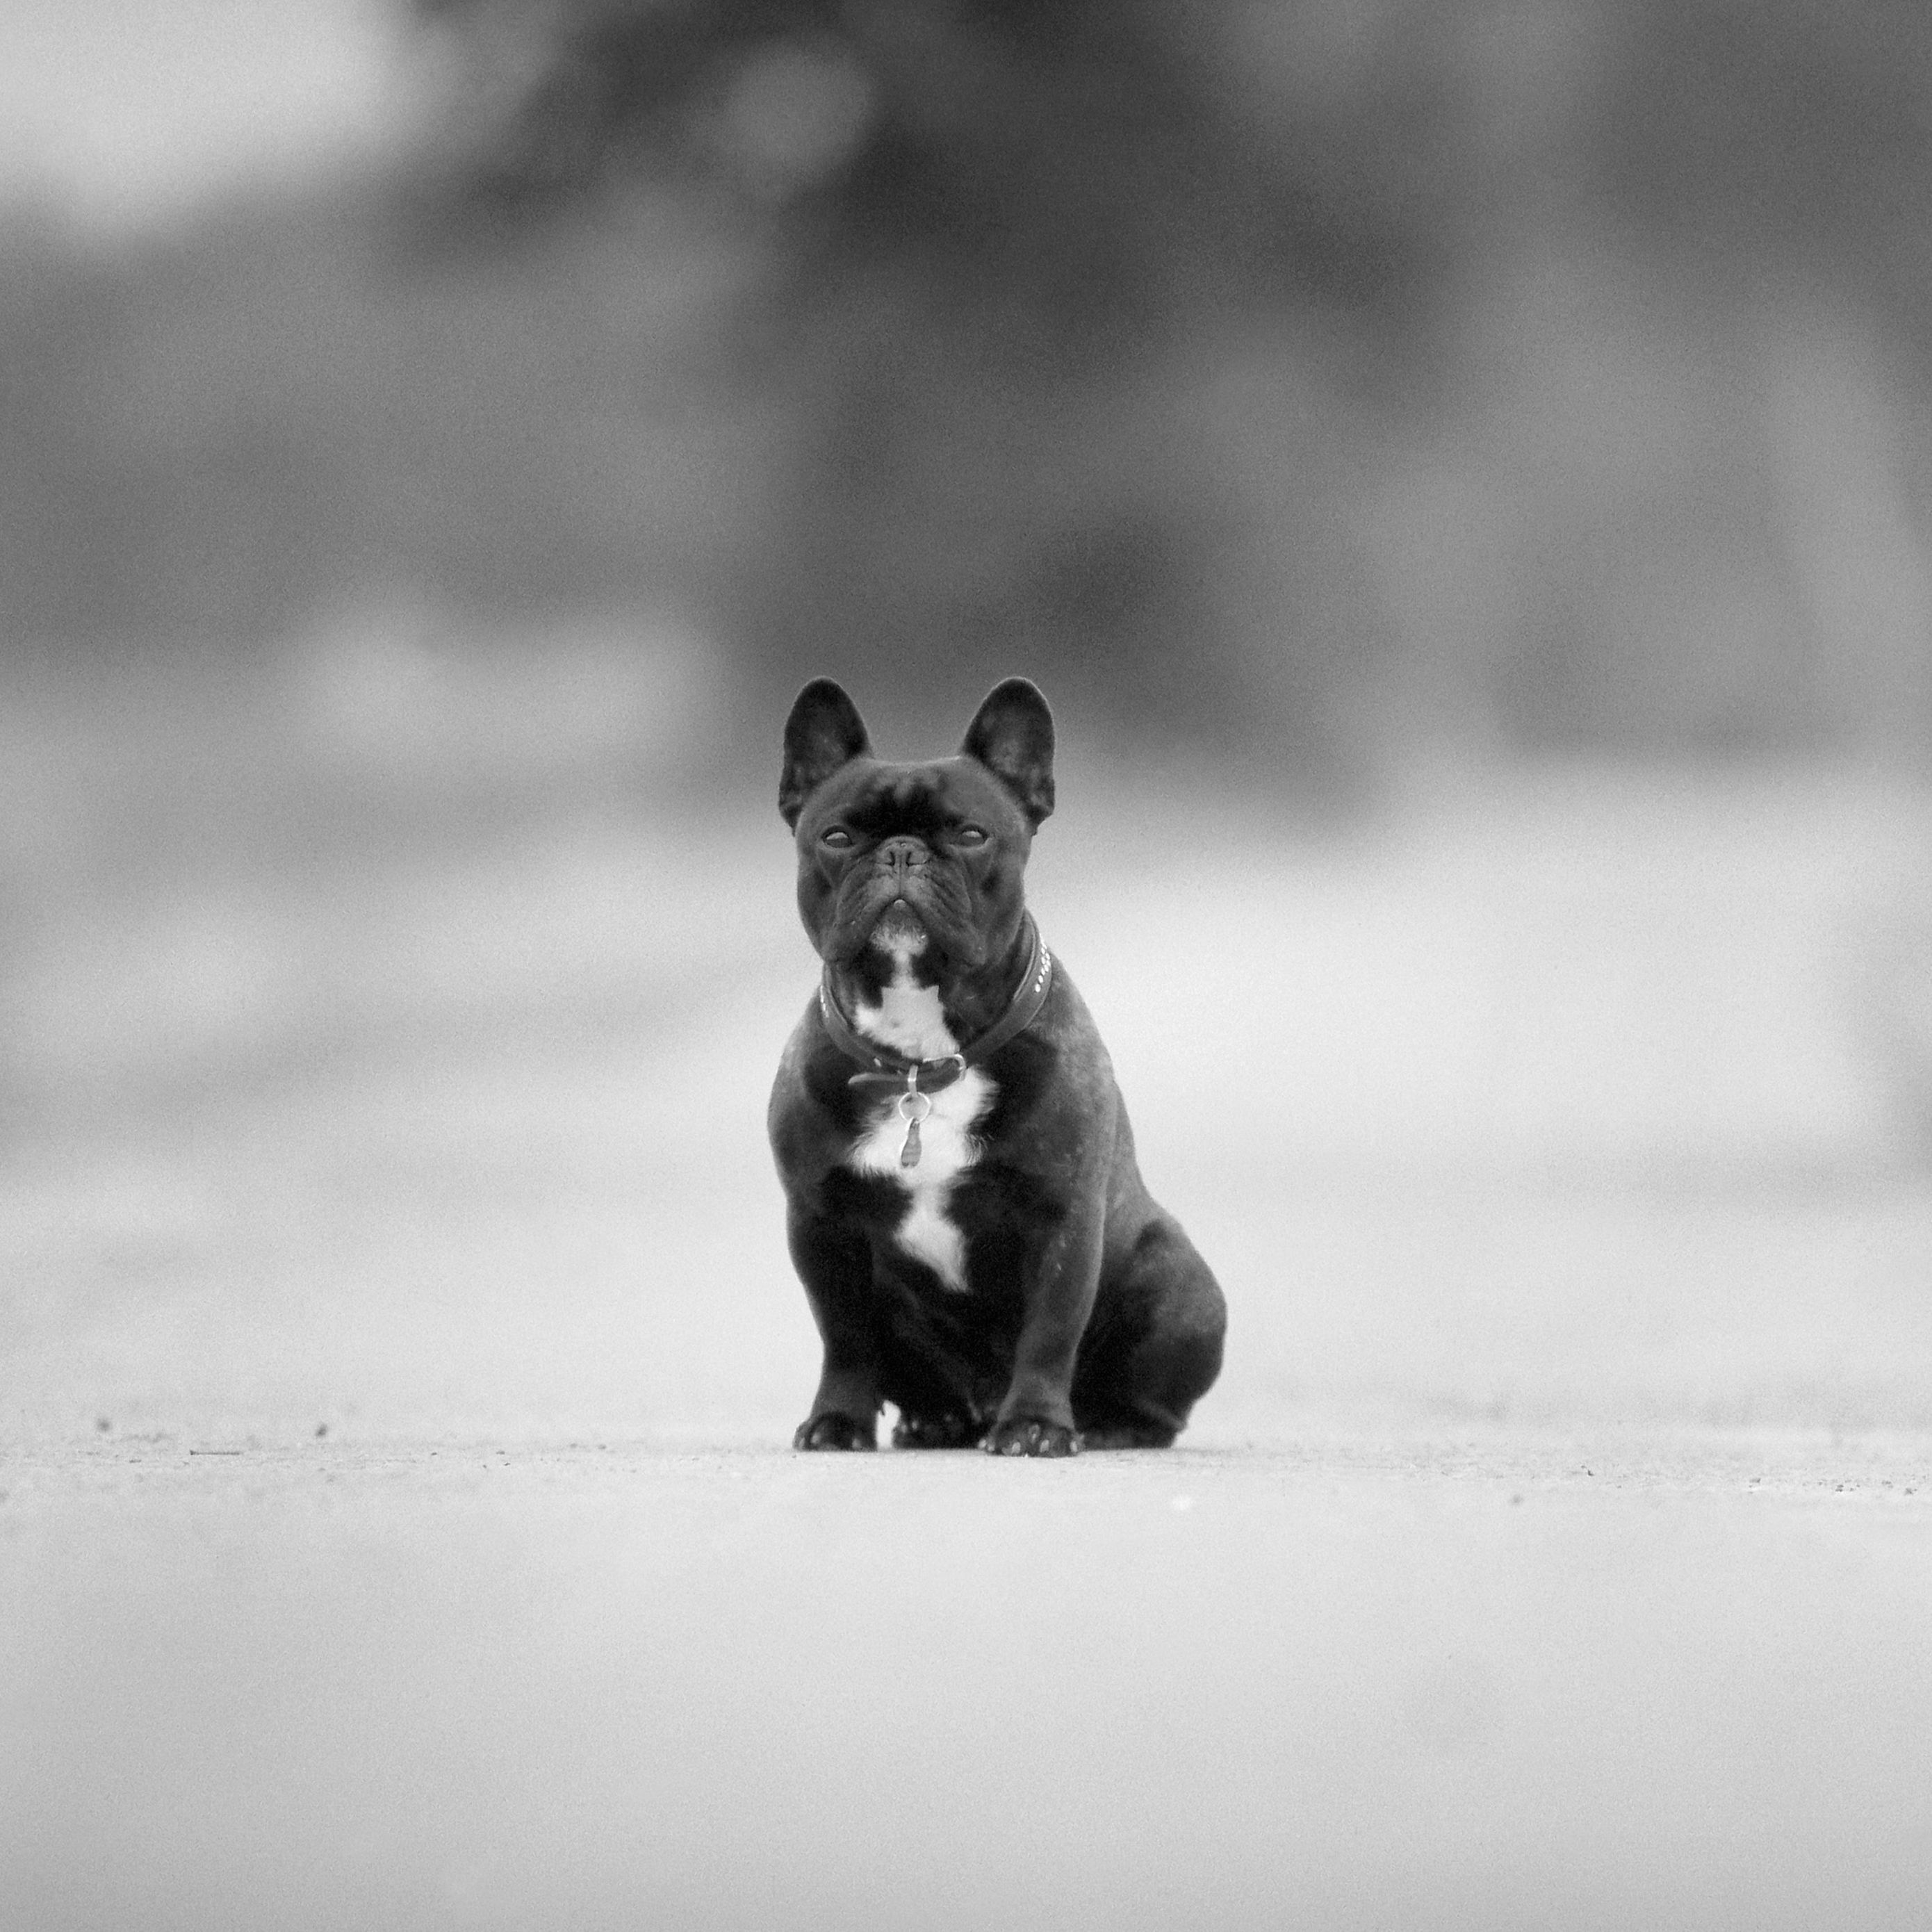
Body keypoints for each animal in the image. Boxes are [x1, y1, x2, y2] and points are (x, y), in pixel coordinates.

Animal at [764, 680, 1220, 1452]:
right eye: (837, 838)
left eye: (972, 835)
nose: (902, 853)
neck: (921, 1061)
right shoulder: (820, 1223)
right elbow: (846, 1337)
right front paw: (837, 1420)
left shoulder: (1061, 1215)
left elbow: (1050, 1330)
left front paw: (1035, 1424)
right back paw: (936, 1418)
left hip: (1180, 1283)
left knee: (1154, 1405)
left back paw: (1104, 1425)